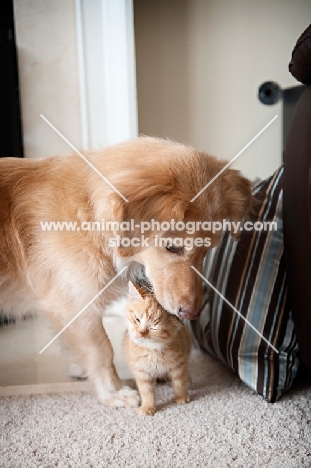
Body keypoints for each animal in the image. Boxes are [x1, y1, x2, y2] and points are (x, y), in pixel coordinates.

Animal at [124, 282, 193, 416]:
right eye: (137, 319)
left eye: (153, 328)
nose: (139, 334)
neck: (152, 350)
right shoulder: (141, 371)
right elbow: (146, 391)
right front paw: (148, 407)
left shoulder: (179, 364)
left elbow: (179, 382)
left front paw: (181, 396)